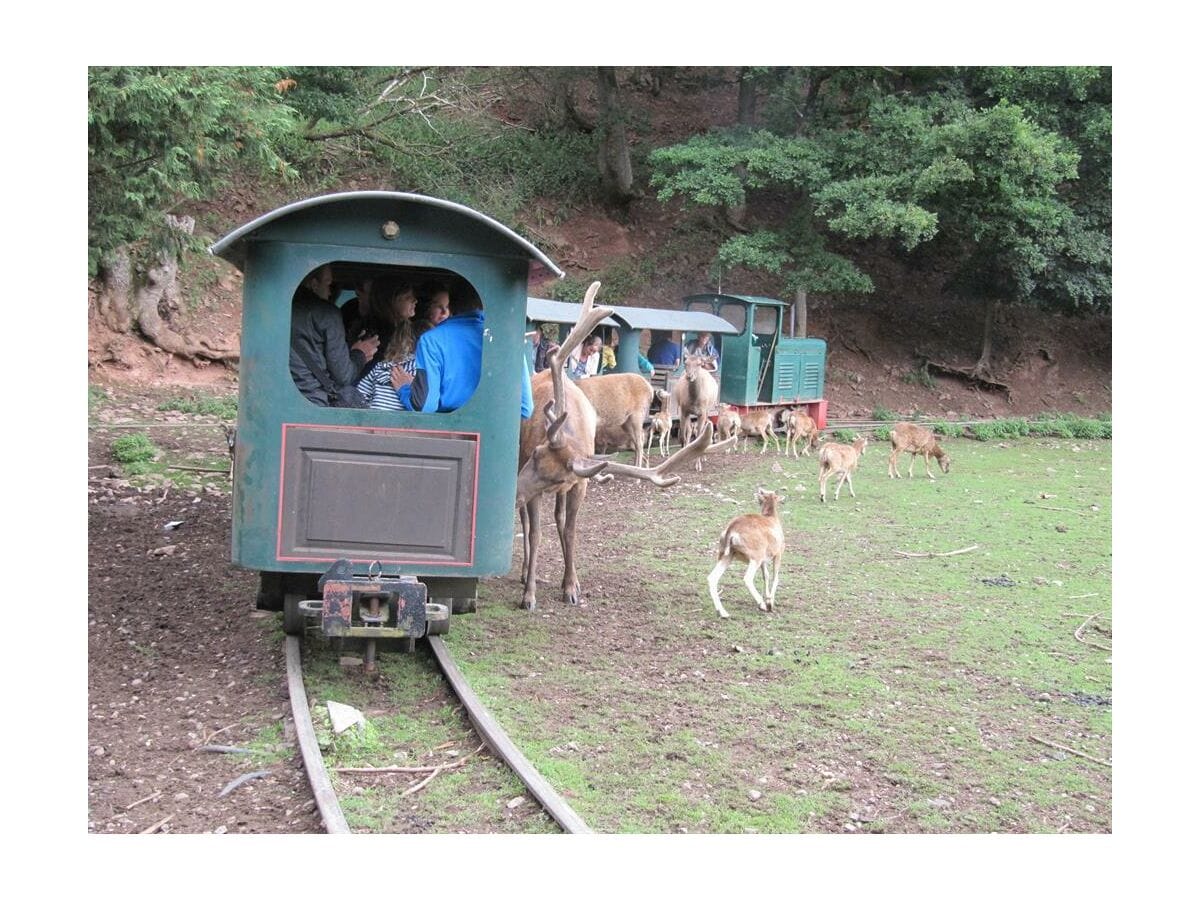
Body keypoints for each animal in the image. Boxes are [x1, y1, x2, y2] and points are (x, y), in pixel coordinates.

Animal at [513, 285, 729, 619]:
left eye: (557, 479)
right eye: (536, 453)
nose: (514, 492)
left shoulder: (578, 482)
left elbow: (571, 529)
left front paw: (571, 587)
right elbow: (535, 534)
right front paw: (529, 594)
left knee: (560, 518)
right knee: (527, 520)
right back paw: (525, 572)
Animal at [700, 487, 787, 619]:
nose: (760, 489)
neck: (771, 519)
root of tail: (732, 529)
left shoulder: (763, 561)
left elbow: (766, 576)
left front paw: (768, 601)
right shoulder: (778, 554)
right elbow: (775, 577)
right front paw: (769, 604)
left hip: (727, 556)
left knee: (712, 578)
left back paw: (723, 613)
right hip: (754, 558)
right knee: (747, 578)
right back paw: (761, 605)